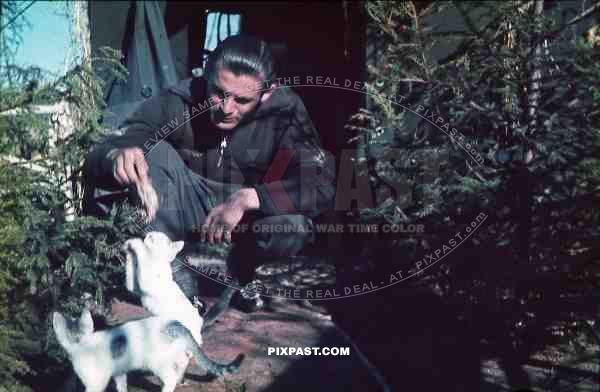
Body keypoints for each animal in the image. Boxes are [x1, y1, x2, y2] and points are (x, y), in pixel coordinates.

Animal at [52, 310, 244, 392]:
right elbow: (122, 387)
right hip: (176, 356)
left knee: (170, 379)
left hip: (157, 362)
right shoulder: (119, 372)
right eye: (69, 336)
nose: (77, 341)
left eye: (80, 335)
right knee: (180, 369)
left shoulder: (95, 383)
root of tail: (174, 324)